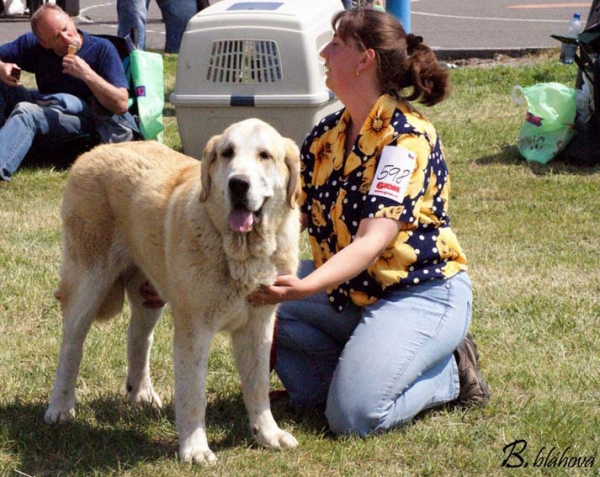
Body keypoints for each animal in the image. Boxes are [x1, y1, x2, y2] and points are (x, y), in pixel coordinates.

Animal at [43, 117, 300, 462]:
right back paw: (60, 407)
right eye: (227, 153)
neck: (239, 252)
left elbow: (258, 385)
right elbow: (193, 395)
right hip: (88, 282)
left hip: (148, 294)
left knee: (138, 337)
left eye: (264, 155)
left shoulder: (258, 325)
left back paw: (140, 394)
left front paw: (268, 434)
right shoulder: (194, 330)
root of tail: (95, 151)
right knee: (71, 346)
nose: (238, 184)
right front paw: (195, 449)